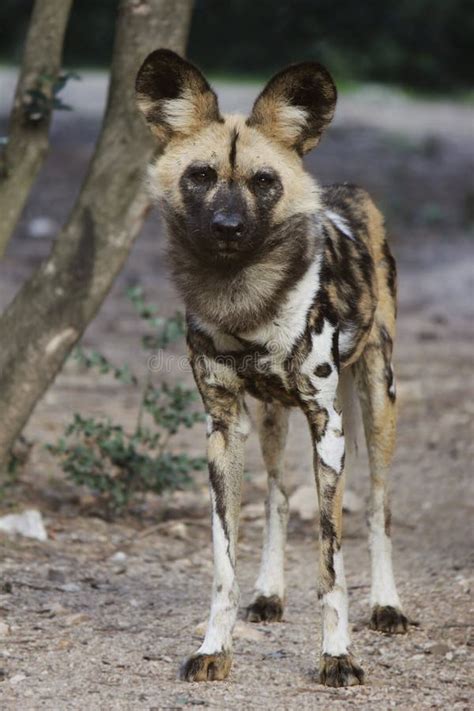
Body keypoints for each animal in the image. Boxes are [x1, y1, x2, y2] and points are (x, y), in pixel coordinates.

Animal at [136, 48, 408, 684]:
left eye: (264, 182)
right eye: (200, 176)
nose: (228, 228)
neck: (244, 299)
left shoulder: (327, 426)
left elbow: (332, 567)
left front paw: (338, 657)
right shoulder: (223, 426)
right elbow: (223, 563)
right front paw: (215, 647)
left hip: (376, 404)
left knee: (379, 508)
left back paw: (387, 605)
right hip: (270, 419)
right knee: (279, 498)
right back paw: (270, 593)